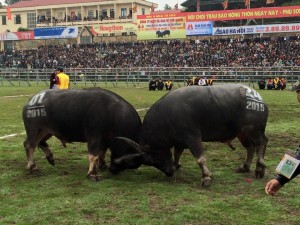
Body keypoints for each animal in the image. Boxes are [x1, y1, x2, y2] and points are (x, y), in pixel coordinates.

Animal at [112, 84, 270, 186]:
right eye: (149, 162)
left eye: (153, 159)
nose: (169, 172)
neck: (168, 115)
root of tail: (259, 99)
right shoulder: (180, 141)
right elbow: (177, 153)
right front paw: (176, 165)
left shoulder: (192, 138)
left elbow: (200, 158)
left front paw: (206, 178)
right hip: (241, 133)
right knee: (250, 147)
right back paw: (245, 167)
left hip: (254, 130)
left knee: (262, 143)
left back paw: (260, 168)